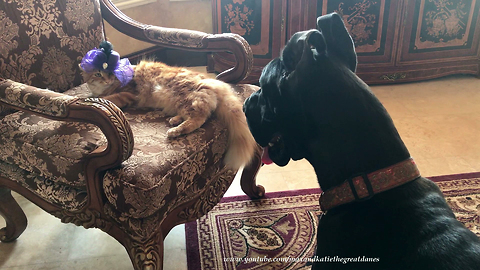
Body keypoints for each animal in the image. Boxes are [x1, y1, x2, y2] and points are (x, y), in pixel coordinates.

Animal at [80, 42, 256, 169]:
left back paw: (175, 131)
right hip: (183, 103)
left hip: (186, 98)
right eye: (98, 74)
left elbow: (109, 98)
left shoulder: (127, 94)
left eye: (111, 73)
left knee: (199, 118)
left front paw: (93, 98)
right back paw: (174, 121)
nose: (106, 79)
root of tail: (215, 83)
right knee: (196, 115)